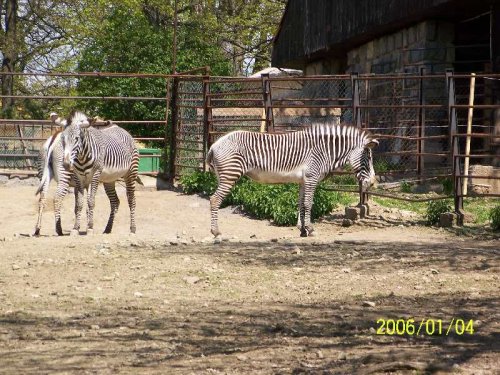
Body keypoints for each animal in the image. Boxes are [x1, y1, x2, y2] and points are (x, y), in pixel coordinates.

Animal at [205, 123, 376, 238]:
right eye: (368, 158)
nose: (373, 183)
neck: (323, 151)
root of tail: (215, 144)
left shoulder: (303, 181)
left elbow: (301, 203)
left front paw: (302, 229)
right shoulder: (312, 178)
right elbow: (309, 203)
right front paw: (310, 229)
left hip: (222, 176)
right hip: (230, 174)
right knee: (215, 199)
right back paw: (216, 232)